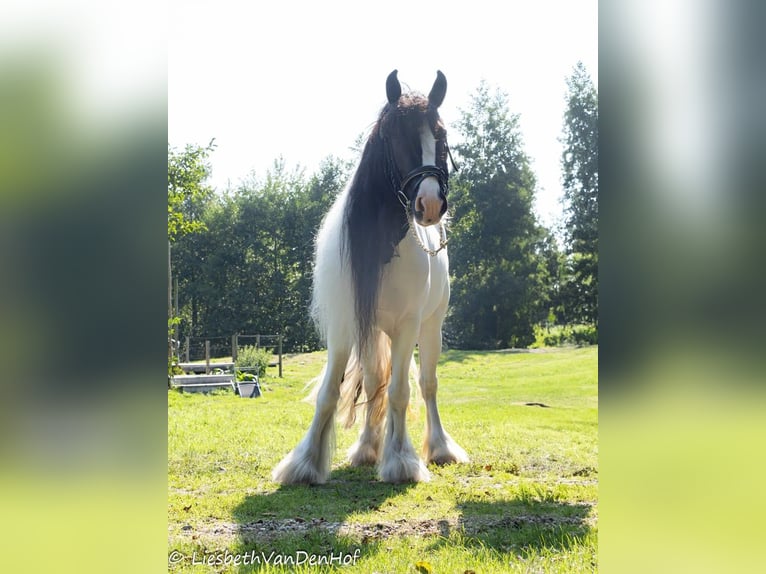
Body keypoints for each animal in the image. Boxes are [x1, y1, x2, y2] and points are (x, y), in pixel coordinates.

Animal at [272, 71, 472, 486]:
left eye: (442, 137)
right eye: (395, 136)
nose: (430, 205)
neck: (385, 245)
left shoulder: (408, 325)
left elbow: (400, 391)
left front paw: (401, 462)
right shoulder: (346, 324)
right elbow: (331, 392)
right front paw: (304, 463)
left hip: (430, 326)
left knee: (426, 384)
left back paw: (440, 448)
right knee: (376, 380)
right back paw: (366, 448)